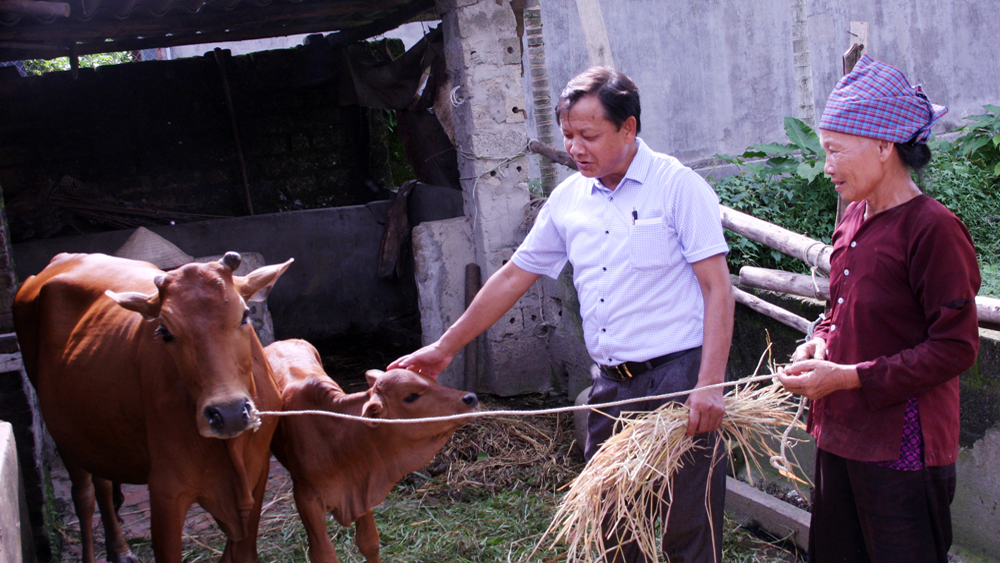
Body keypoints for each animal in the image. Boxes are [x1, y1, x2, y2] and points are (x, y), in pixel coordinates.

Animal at [12, 253, 292, 563]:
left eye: (244, 315)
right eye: (165, 332)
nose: (228, 413)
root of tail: (63, 258)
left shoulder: (257, 475)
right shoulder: (165, 493)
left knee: (103, 484)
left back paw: (120, 550)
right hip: (64, 433)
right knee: (83, 496)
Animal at [266, 340, 476, 563]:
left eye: (432, 380)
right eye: (411, 396)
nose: (470, 397)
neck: (335, 440)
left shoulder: (362, 487)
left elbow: (369, 543)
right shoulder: (306, 498)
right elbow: (324, 553)